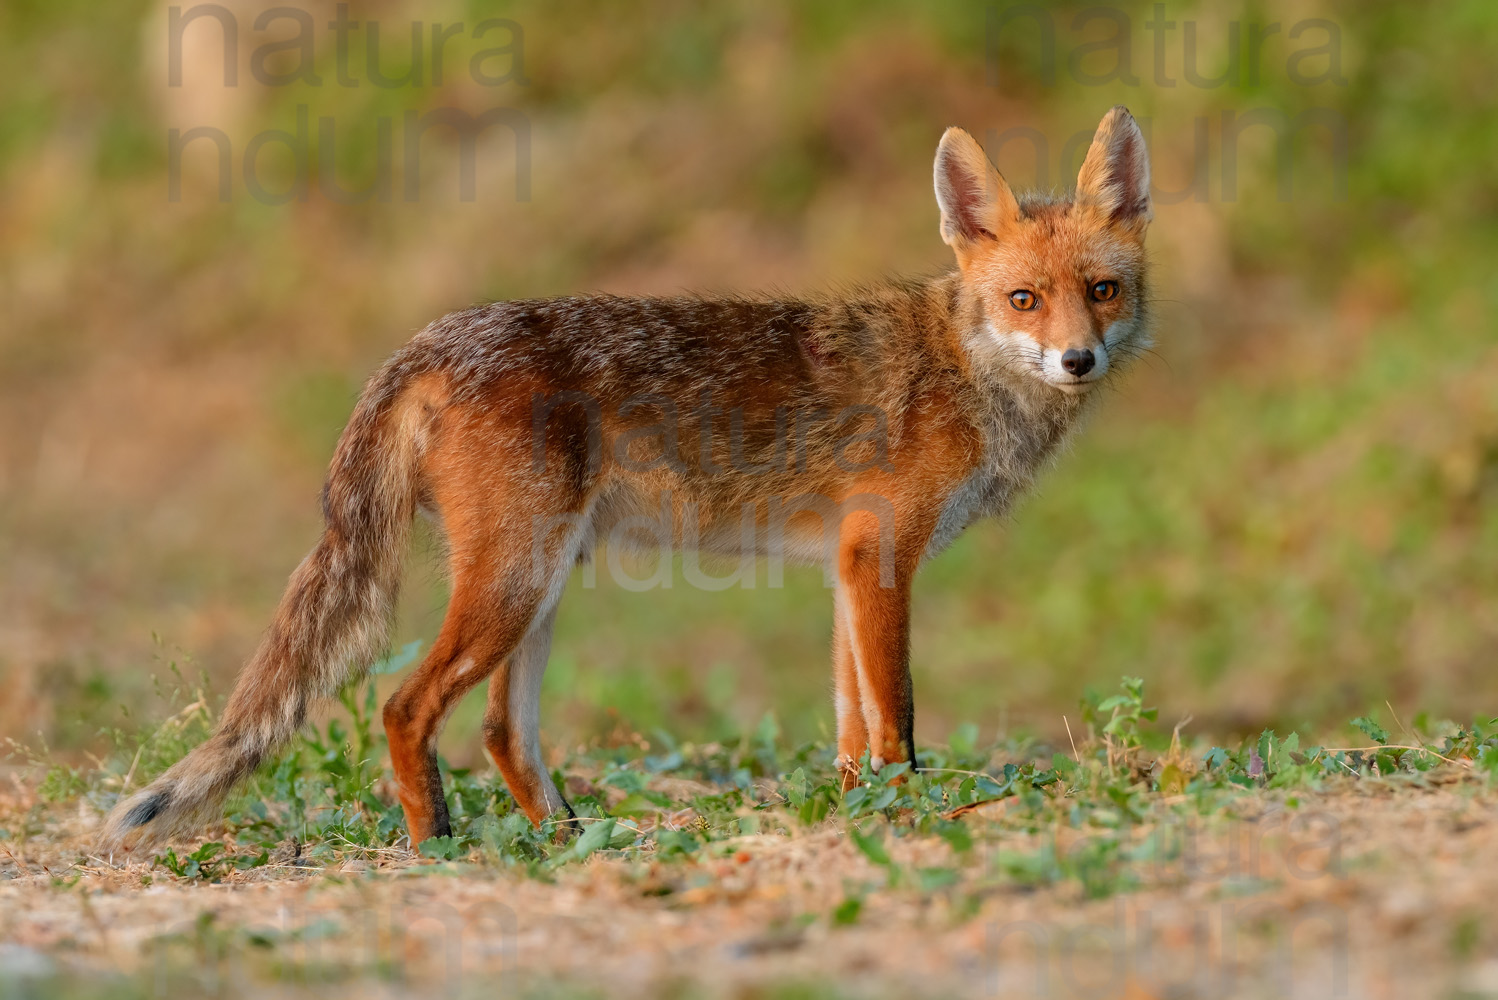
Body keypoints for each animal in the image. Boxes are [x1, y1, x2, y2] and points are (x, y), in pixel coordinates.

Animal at [102, 103, 1156, 850]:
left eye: (1103, 292)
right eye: (1024, 299)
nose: (1078, 362)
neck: (960, 370)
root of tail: (434, 337)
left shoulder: (846, 568)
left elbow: (852, 725)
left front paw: (859, 814)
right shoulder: (881, 559)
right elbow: (893, 718)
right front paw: (904, 819)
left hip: (538, 586)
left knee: (501, 730)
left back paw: (568, 840)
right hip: (513, 584)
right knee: (406, 707)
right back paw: (433, 844)